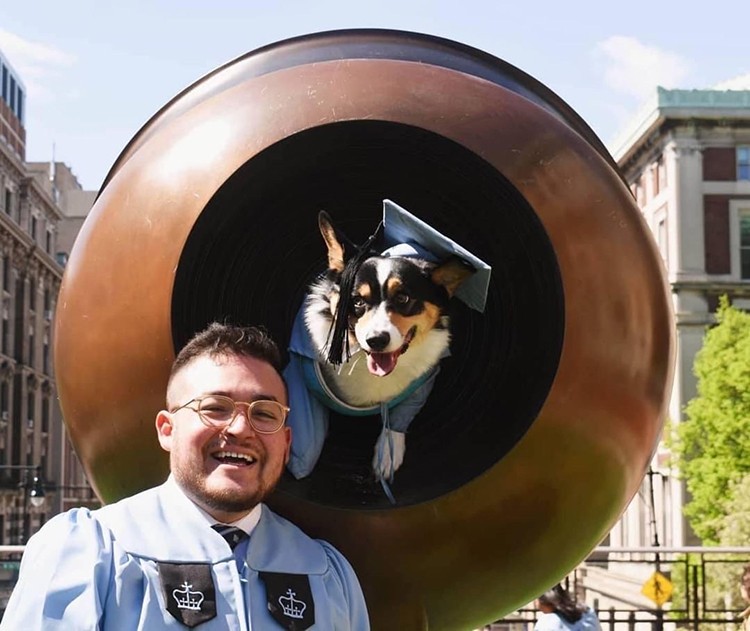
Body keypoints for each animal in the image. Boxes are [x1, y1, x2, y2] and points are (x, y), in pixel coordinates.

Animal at [302, 210, 472, 482]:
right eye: (357, 301)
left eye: (403, 298)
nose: (377, 340)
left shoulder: (425, 380)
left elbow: (399, 417)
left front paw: (387, 453)